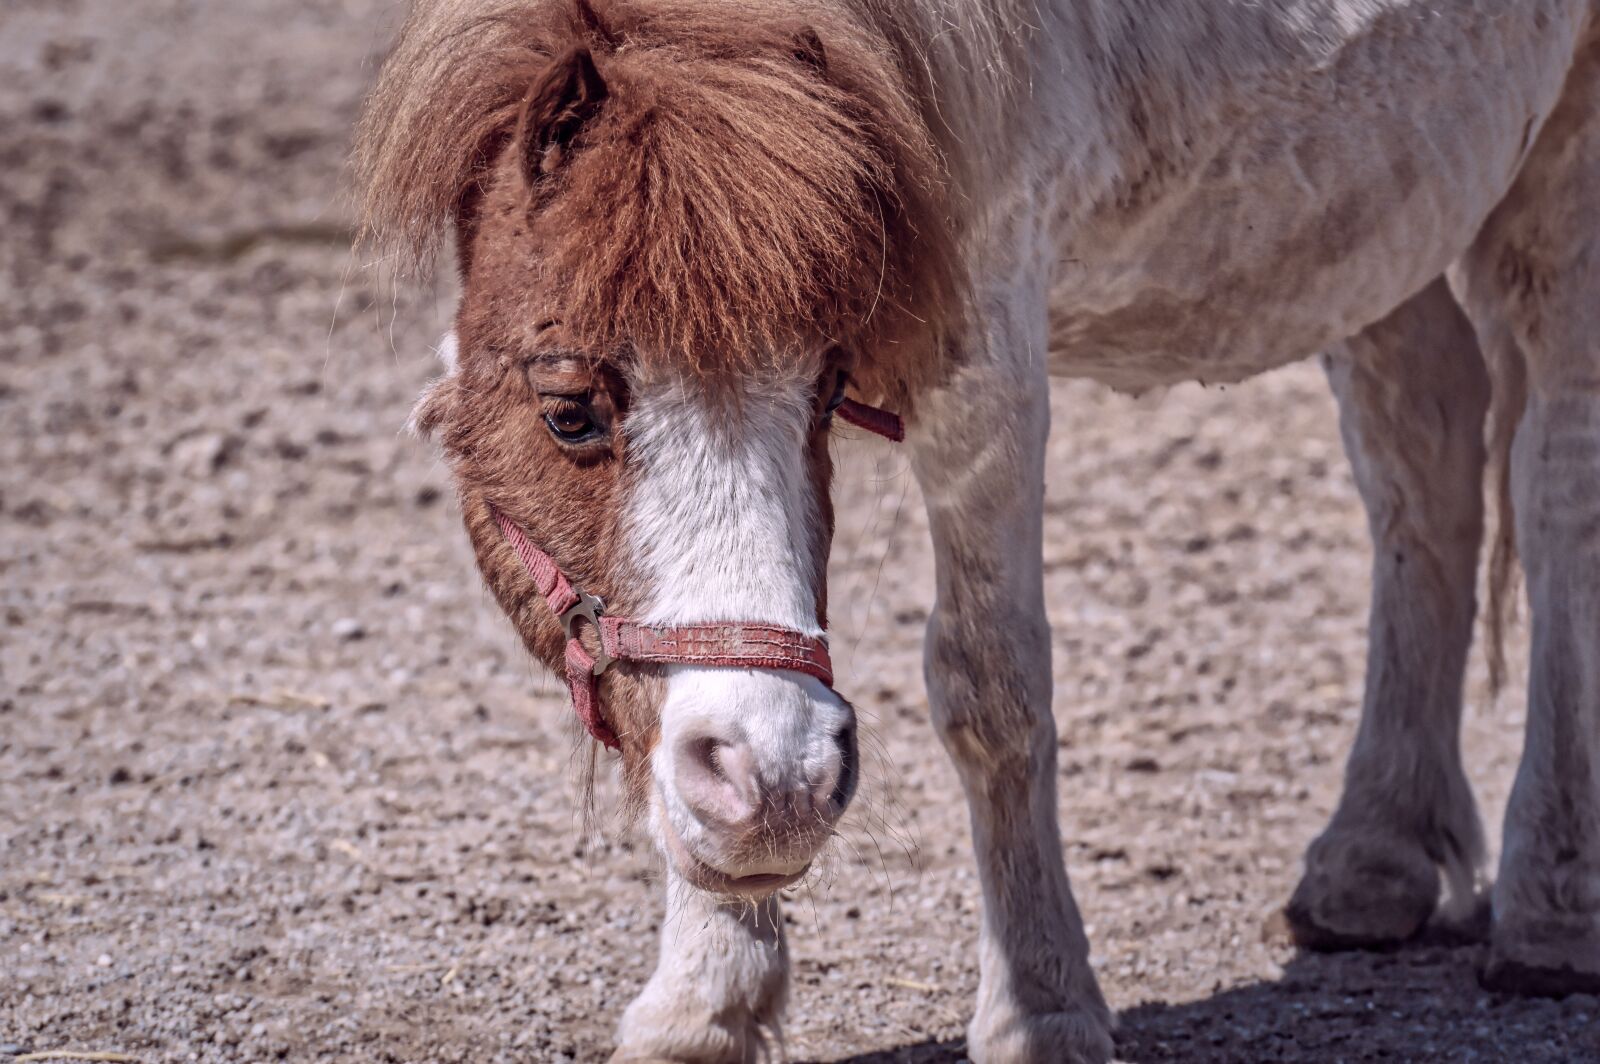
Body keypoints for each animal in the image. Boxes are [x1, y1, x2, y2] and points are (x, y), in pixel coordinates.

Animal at [355, 1, 1600, 1060]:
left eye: (826, 389)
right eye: (570, 409)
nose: (779, 778)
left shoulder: (982, 348)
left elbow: (988, 686)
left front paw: (1039, 1008)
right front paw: (705, 998)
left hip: (1557, 168)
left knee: (1554, 490)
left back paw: (1552, 905)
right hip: (1388, 212)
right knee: (1423, 468)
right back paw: (1374, 853)